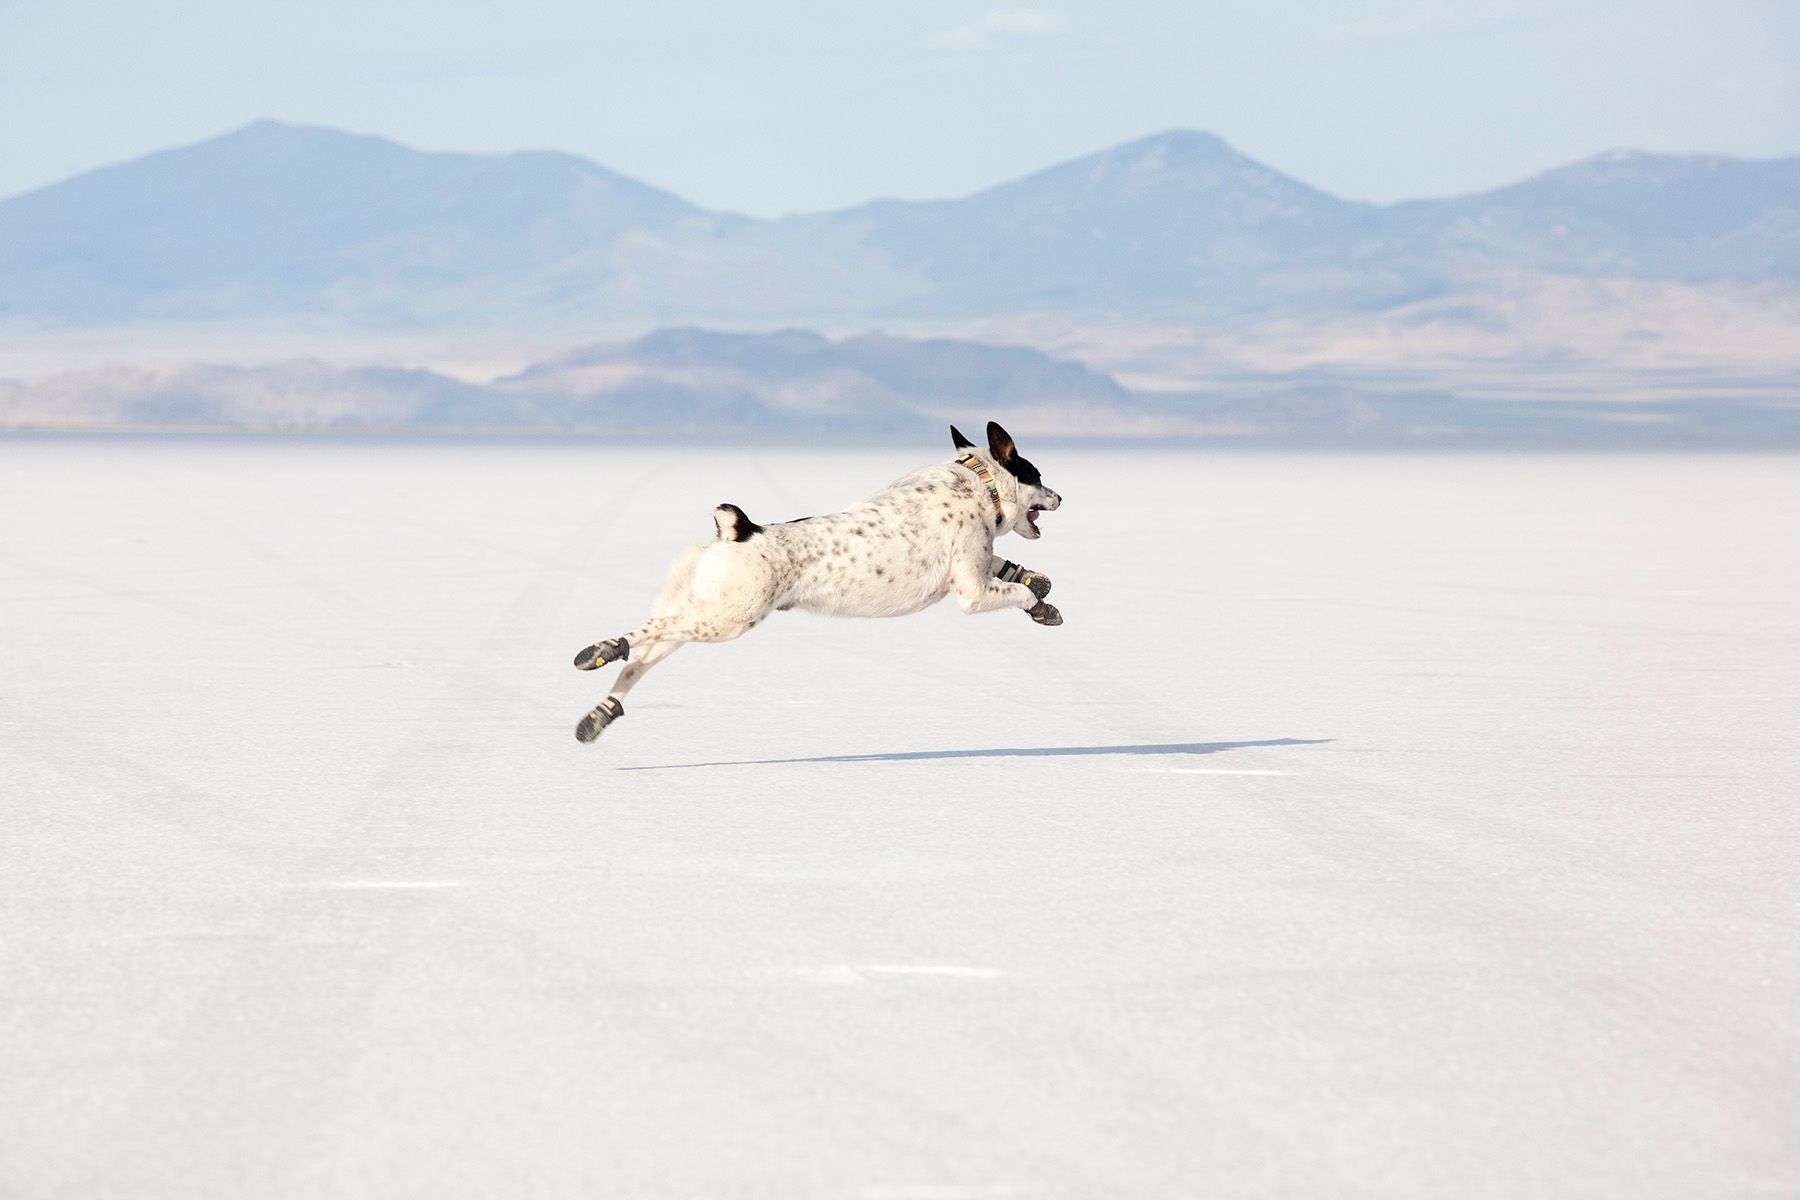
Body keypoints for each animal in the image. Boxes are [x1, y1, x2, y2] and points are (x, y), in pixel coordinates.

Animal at [568, 422, 1058, 741]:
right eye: (1037, 476)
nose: (1060, 496)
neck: (980, 483)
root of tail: (737, 530)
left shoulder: (976, 566)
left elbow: (1006, 566)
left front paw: (1033, 578)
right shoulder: (971, 591)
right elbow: (1015, 591)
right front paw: (1038, 601)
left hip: (705, 608)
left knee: (641, 659)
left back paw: (600, 712)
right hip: (728, 618)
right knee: (648, 635)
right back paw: (601, 649)